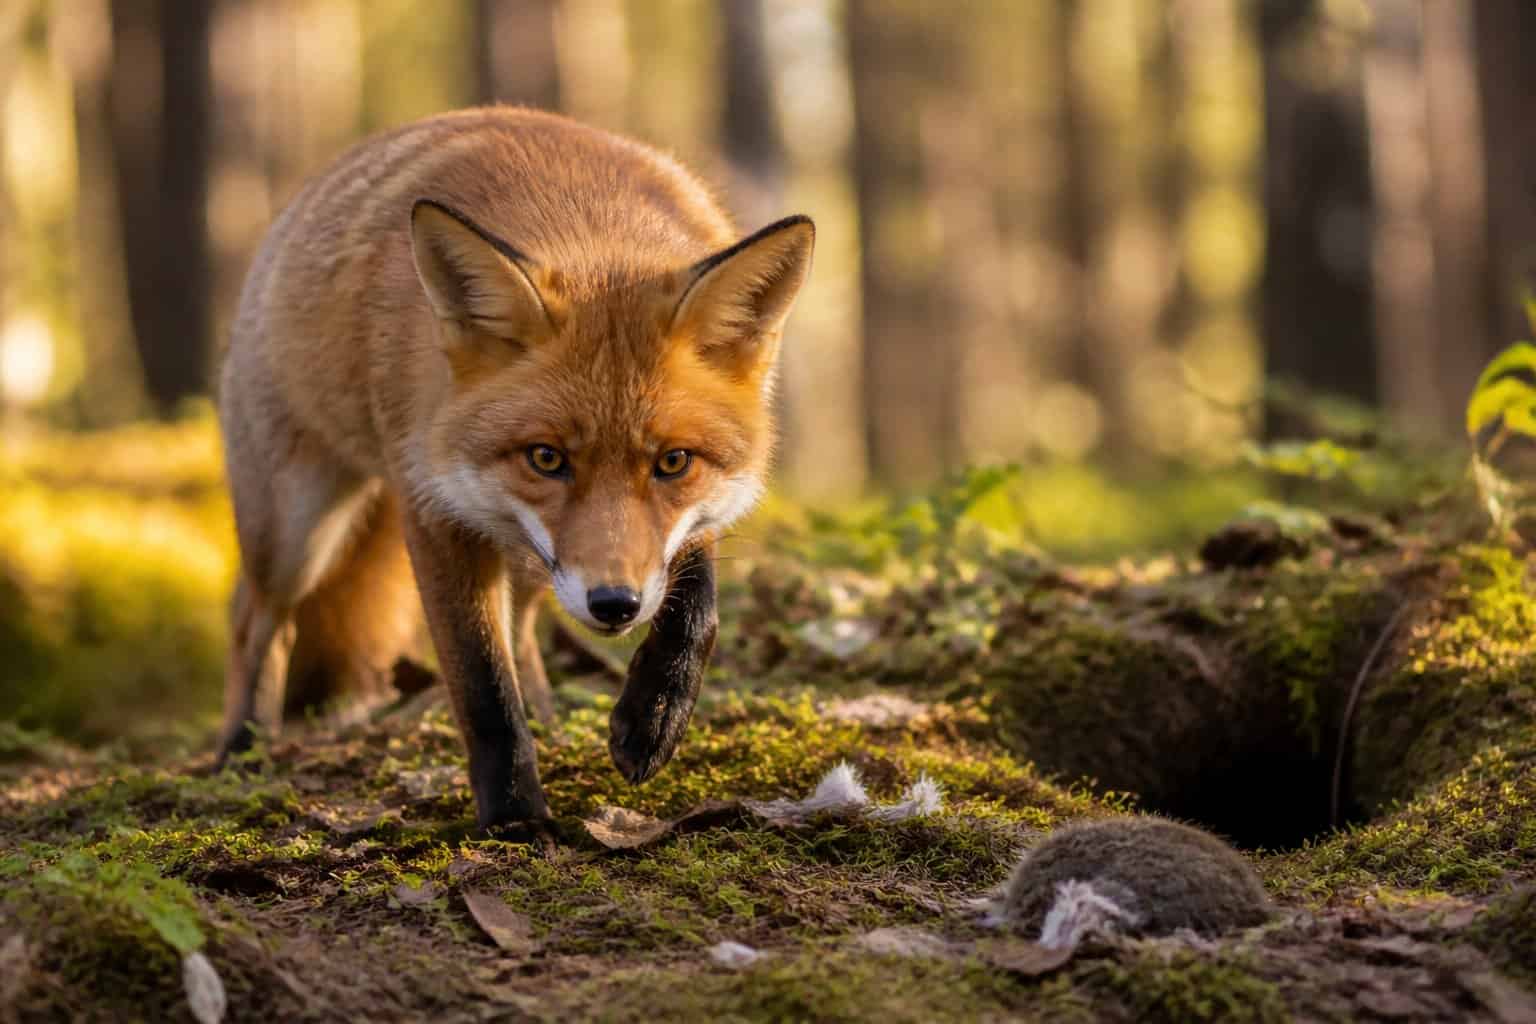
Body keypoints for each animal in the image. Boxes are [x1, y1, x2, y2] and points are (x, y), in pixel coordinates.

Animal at [214, 106, 814, 833]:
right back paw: (242, 749)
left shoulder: (698, 512)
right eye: (546, 458)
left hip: (525, 557)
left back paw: (550, 718)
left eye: (673, 462)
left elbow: (696, 609)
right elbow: (481, 683)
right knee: (256, 619)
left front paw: (654, 718)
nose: (614, 605)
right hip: (294, 530)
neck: (590, 223)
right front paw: (514, 817)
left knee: (524, 627)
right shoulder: (433, 510)